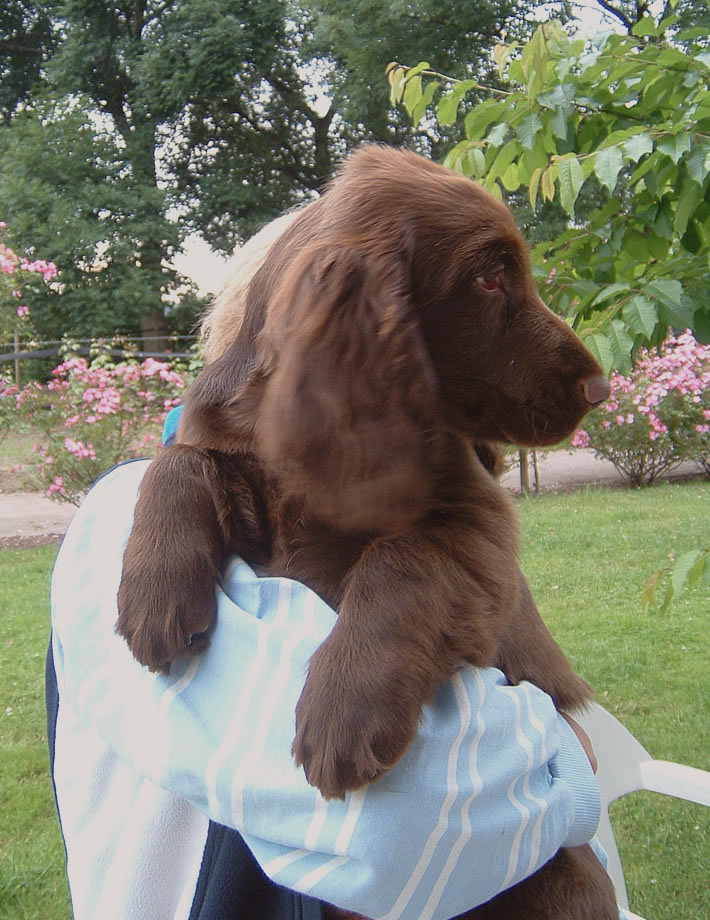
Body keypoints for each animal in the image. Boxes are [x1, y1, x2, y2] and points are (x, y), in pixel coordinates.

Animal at [117, 147, 616, 916]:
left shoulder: (480, 524)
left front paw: (344, 712)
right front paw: (154, 595)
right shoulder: (227, 454)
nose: (600, 390)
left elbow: (402, 557)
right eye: (489, 276)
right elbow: (177, 460)